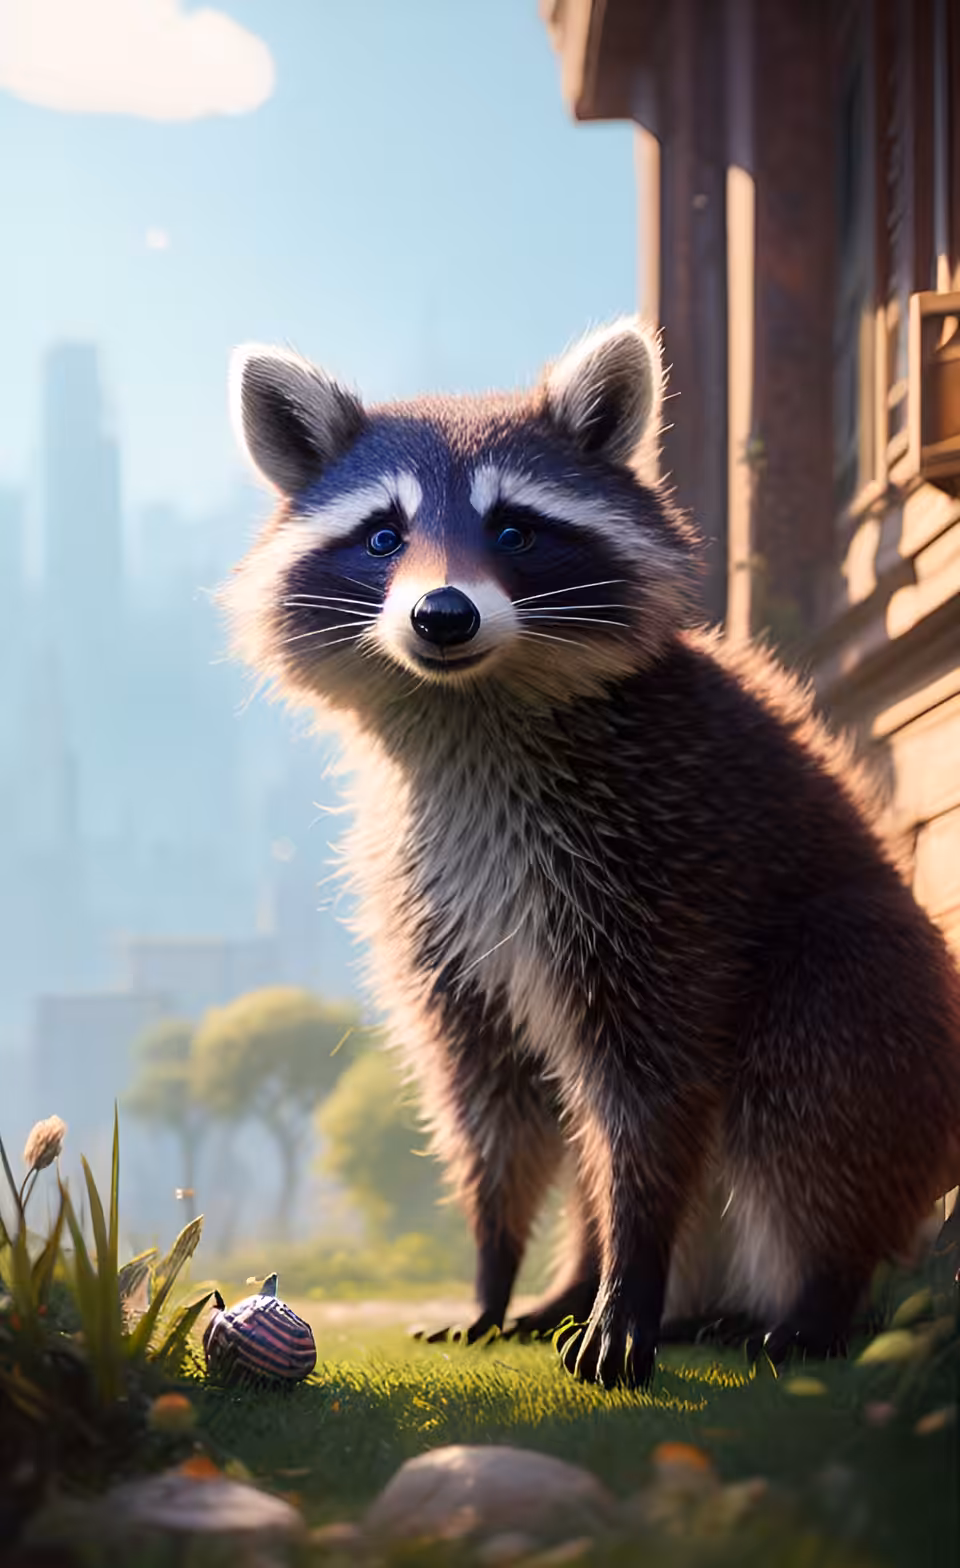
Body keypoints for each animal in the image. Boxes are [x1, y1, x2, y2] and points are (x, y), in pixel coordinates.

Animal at [223, 319, 960, 1388]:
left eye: (514, 531)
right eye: (383, 536)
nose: (442, 615)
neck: (472, 706)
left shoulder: (665, 864)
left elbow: (648, 1097)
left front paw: (629, 1279)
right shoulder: (431, 906)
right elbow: (489, 1100)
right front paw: (496, 1269)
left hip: (880, 998)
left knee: (818, 1073)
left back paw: (819, 1290)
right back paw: (579, 1283)